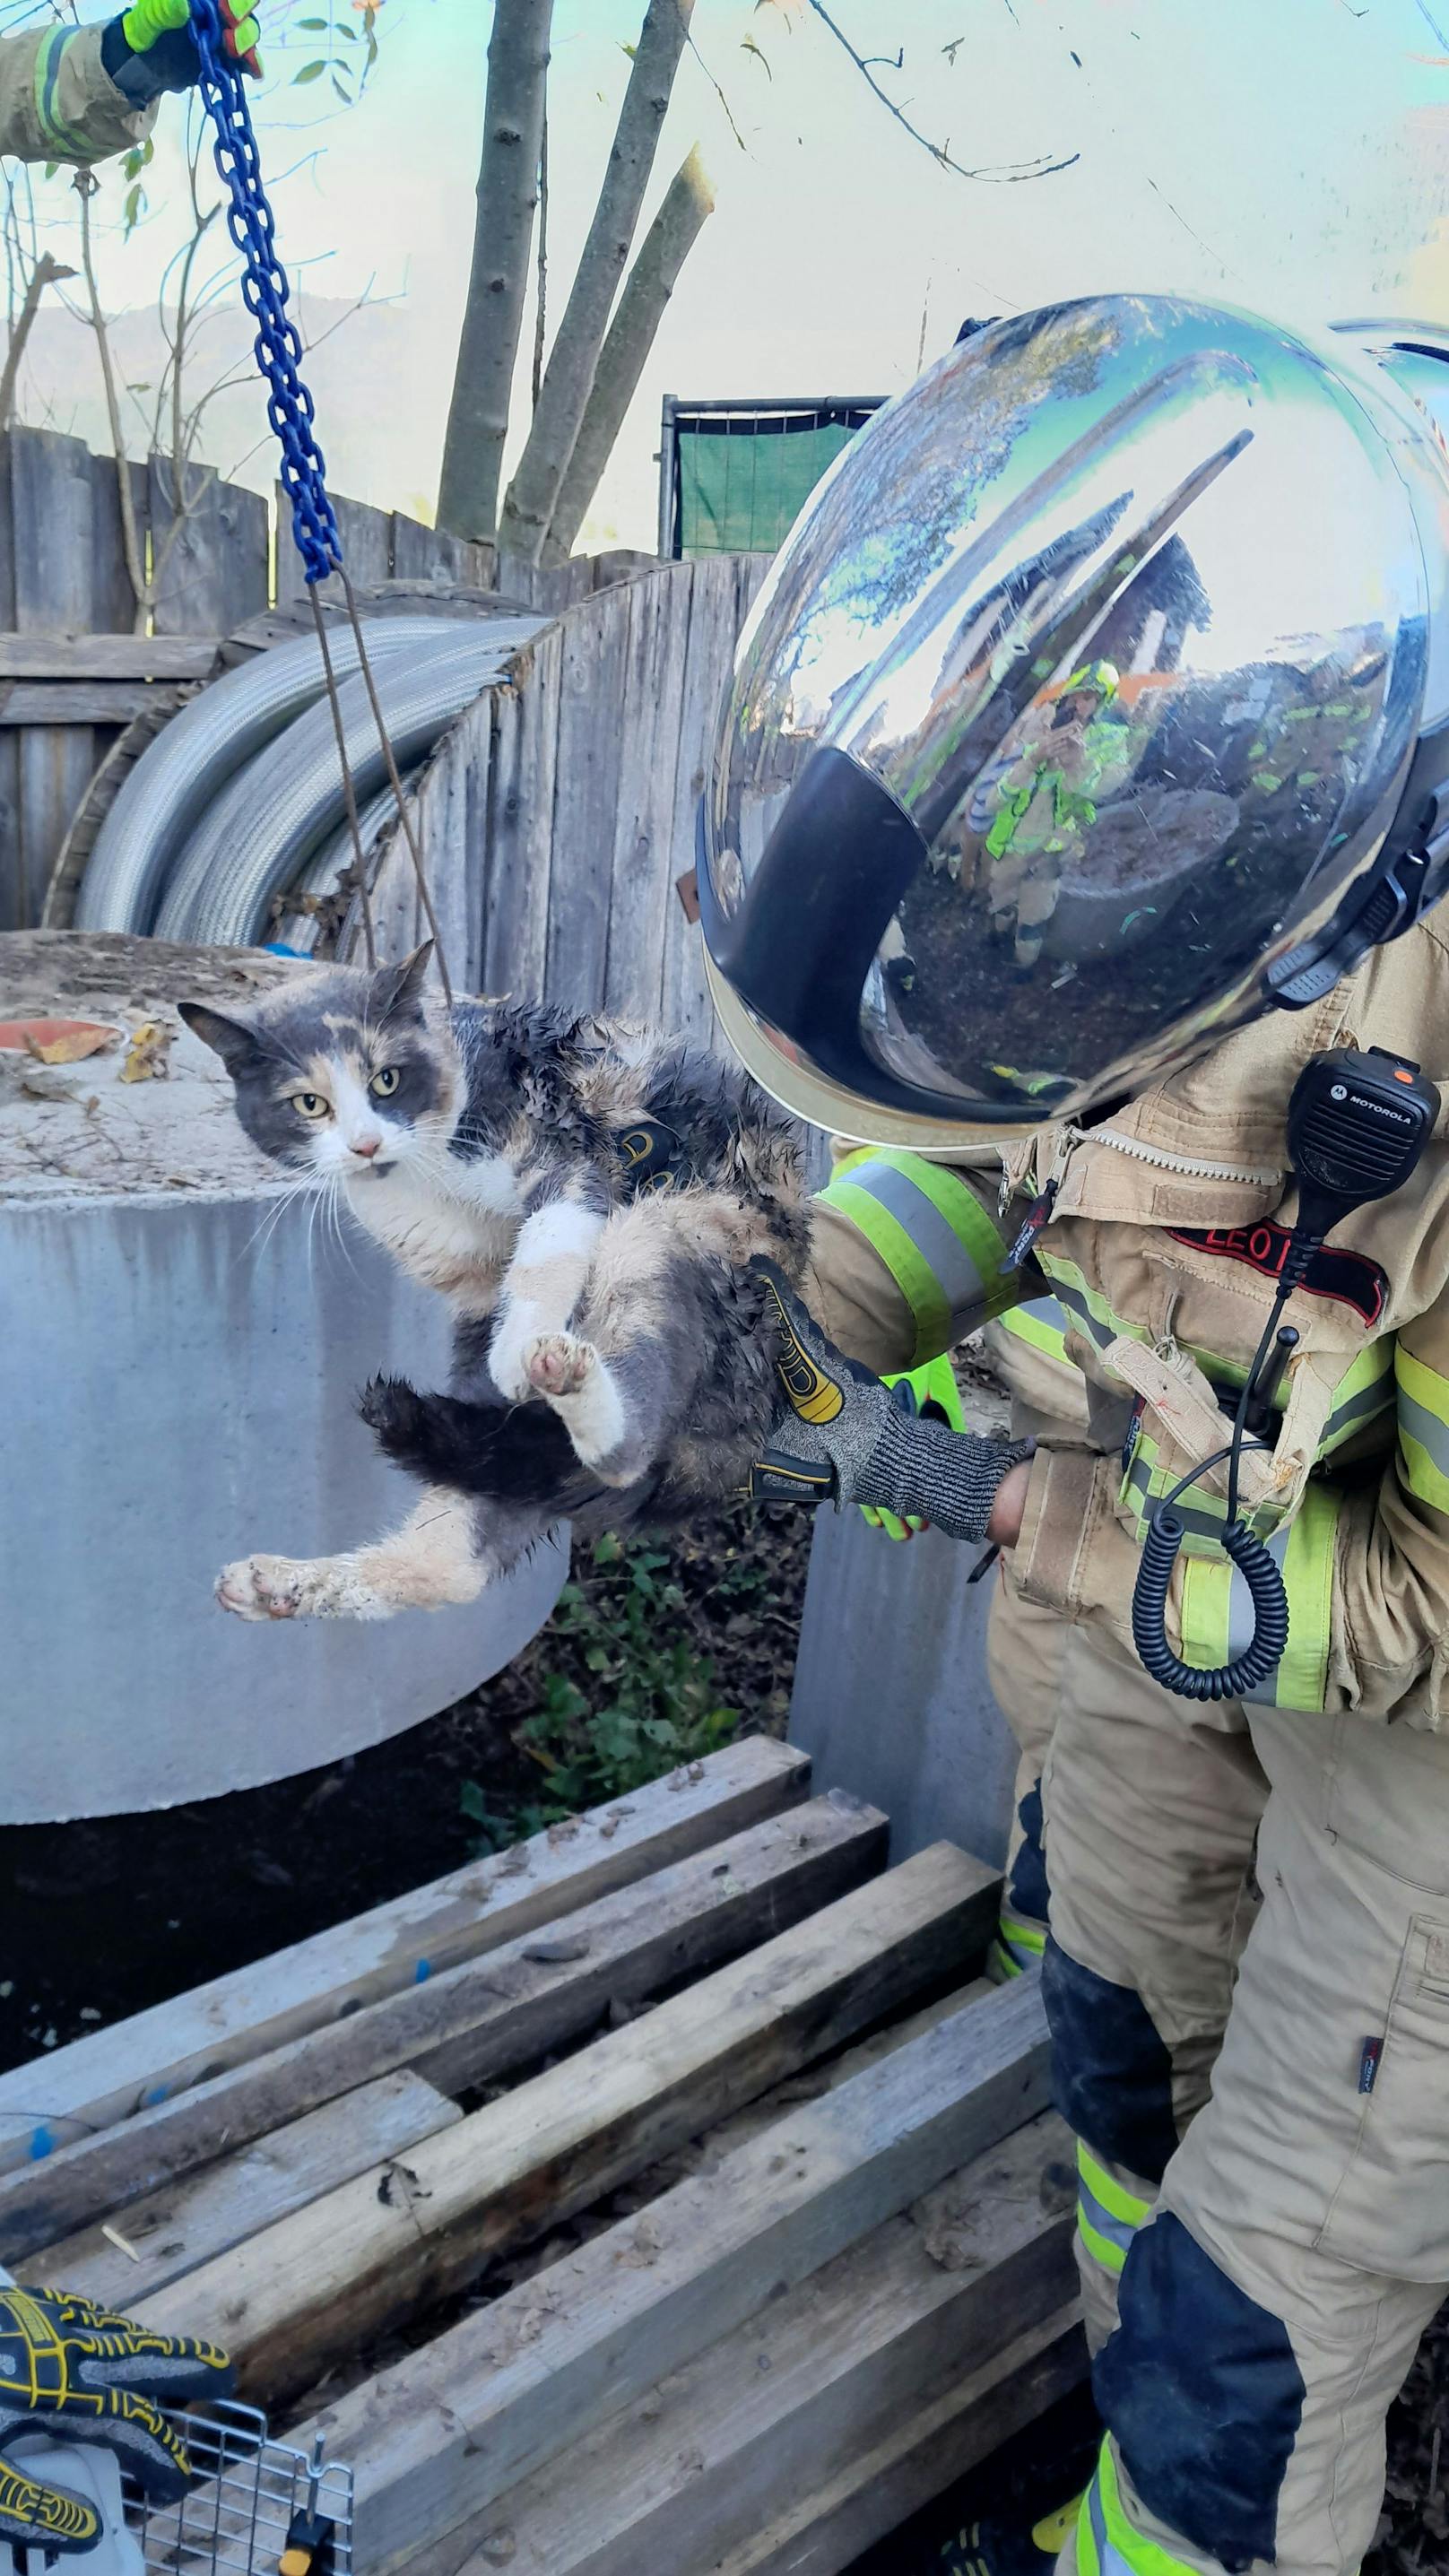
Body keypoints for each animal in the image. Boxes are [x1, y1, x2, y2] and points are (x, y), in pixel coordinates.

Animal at [178, 948, 799, 1627]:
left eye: (386, 1081)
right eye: (308, 1104)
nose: (366, 1144)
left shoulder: (570, 1154)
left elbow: (547, 1245)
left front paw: (517, 1352)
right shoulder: (470, 1284)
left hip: (669, 1225)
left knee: (627, 1451)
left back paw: (561, 1372)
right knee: (455, 1558)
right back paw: (277, 1584)